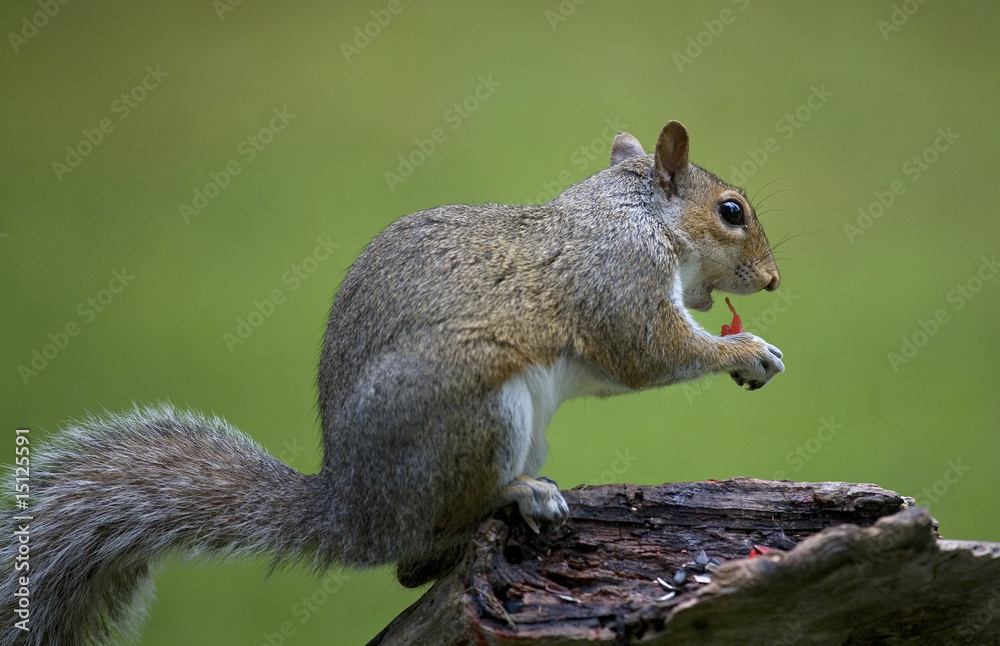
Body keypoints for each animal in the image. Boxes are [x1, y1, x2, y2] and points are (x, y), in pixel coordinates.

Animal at [1, 120, 783, 645]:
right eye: (732, 211)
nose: (774, 279)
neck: (632, 217)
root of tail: (353, 511)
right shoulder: (618, 284)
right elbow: (650, 352)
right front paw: (747, 350)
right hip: (475, 408)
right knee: (426, 539)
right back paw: (517, 495)